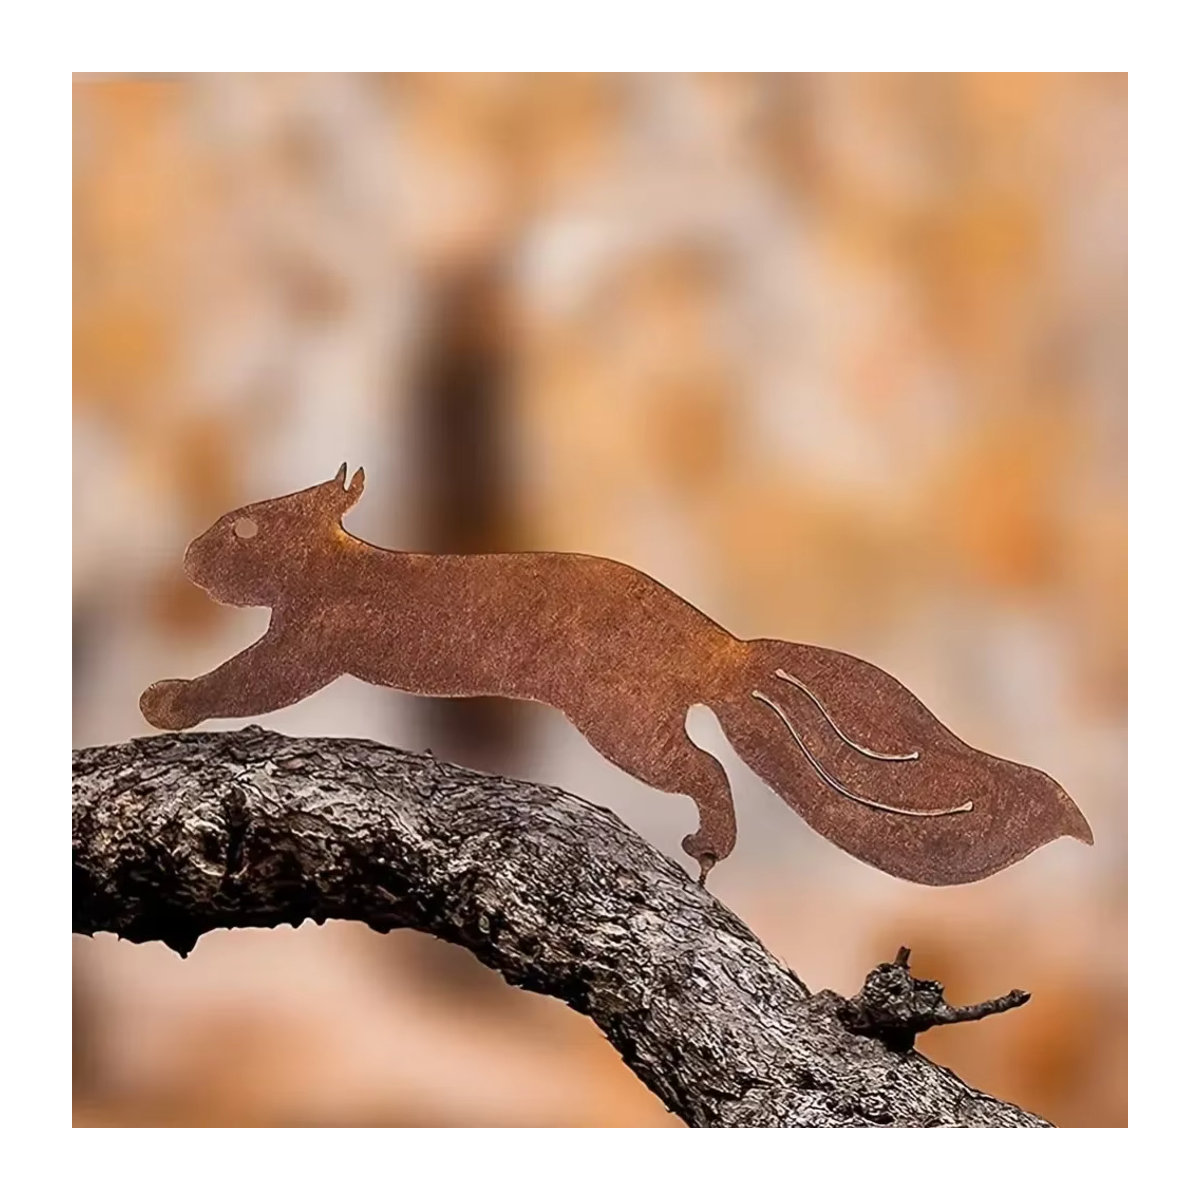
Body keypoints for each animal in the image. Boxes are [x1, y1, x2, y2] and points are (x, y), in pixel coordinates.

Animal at [140, 464, 1093, 886]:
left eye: (244, 528)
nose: (187, 556)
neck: (339, 564)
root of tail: (720, 645)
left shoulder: (309, 641)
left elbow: (245, 681)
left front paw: (166, 699)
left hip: (622, 721)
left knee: (704, 770)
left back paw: (706, 848)